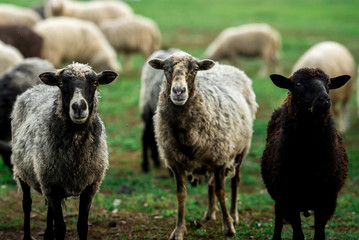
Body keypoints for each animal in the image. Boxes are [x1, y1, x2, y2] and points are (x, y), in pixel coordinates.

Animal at [10, 62, 118, 240]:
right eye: (61, 84)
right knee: (27, 204)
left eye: (95, 83)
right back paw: (27, 236)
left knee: (49, 210)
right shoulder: (52, 186)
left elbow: (82, 227)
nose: (79, 106)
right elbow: (60, 228)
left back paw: (47, 235)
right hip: (22, 172)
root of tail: (35, 87)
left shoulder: (89, 187)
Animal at [149, 50, 258, 238]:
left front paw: (228, 226)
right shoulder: (175, 162)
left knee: (235, 181)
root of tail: (224, 66)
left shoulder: (221, 158)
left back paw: (234, 214)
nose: (178, 91)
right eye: (166, 69)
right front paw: (179, 230)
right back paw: (210, 212)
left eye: (195, 70)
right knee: (211, 183)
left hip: (241, 150)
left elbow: (221, 191)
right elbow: (181, 194)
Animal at [260, 67, 350, 240]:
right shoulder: (288, 201)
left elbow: (319, 235)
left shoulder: (327, 201)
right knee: (278, 213)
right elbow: (298, 235)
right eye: (298, 84)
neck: (309, 157)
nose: (324, 100)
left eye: (328, 83)